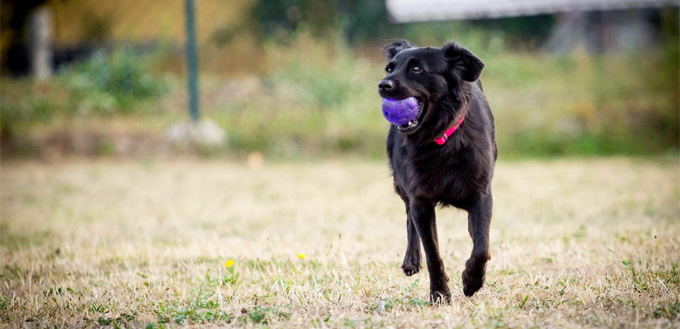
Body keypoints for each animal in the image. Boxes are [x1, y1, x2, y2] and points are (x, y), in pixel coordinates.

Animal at [380, 39, 496, 302]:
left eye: (416, 69)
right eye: (390, 69)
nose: (383, 85)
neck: (441, 140)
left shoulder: (481, 193)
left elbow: (482, 247)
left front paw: (472, 280)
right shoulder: (420, 199)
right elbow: (432, 252)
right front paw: (440, 293)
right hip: (402, 186)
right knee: (409, 220)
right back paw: (412, 260)